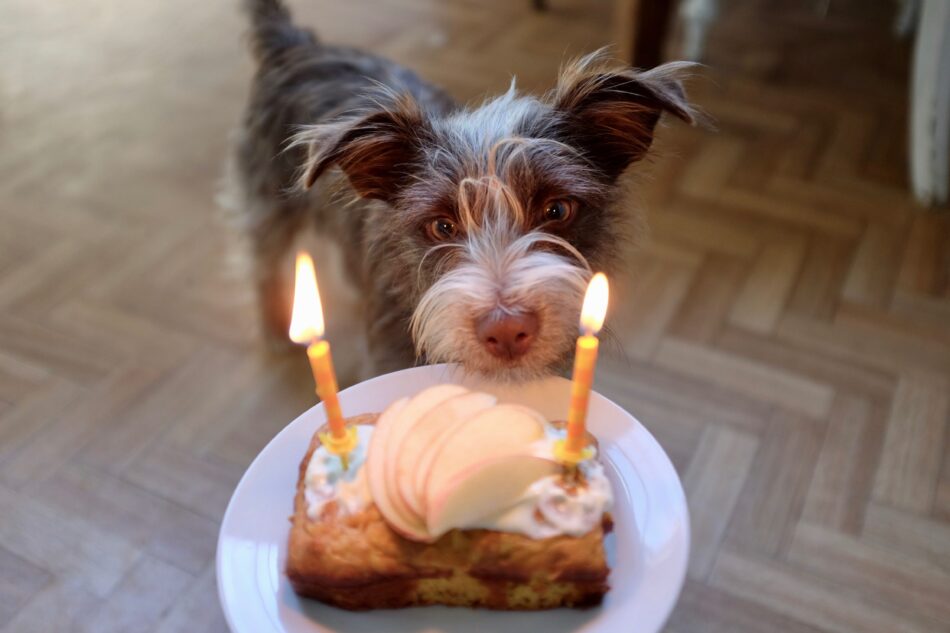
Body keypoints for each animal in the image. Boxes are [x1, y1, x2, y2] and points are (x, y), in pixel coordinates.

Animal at [226, 0, 696, 380]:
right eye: (442, 226)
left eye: (558, 210)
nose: (506, 331)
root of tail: (295, 44)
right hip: (268, 199)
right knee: (263, 260)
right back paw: (275, 330)